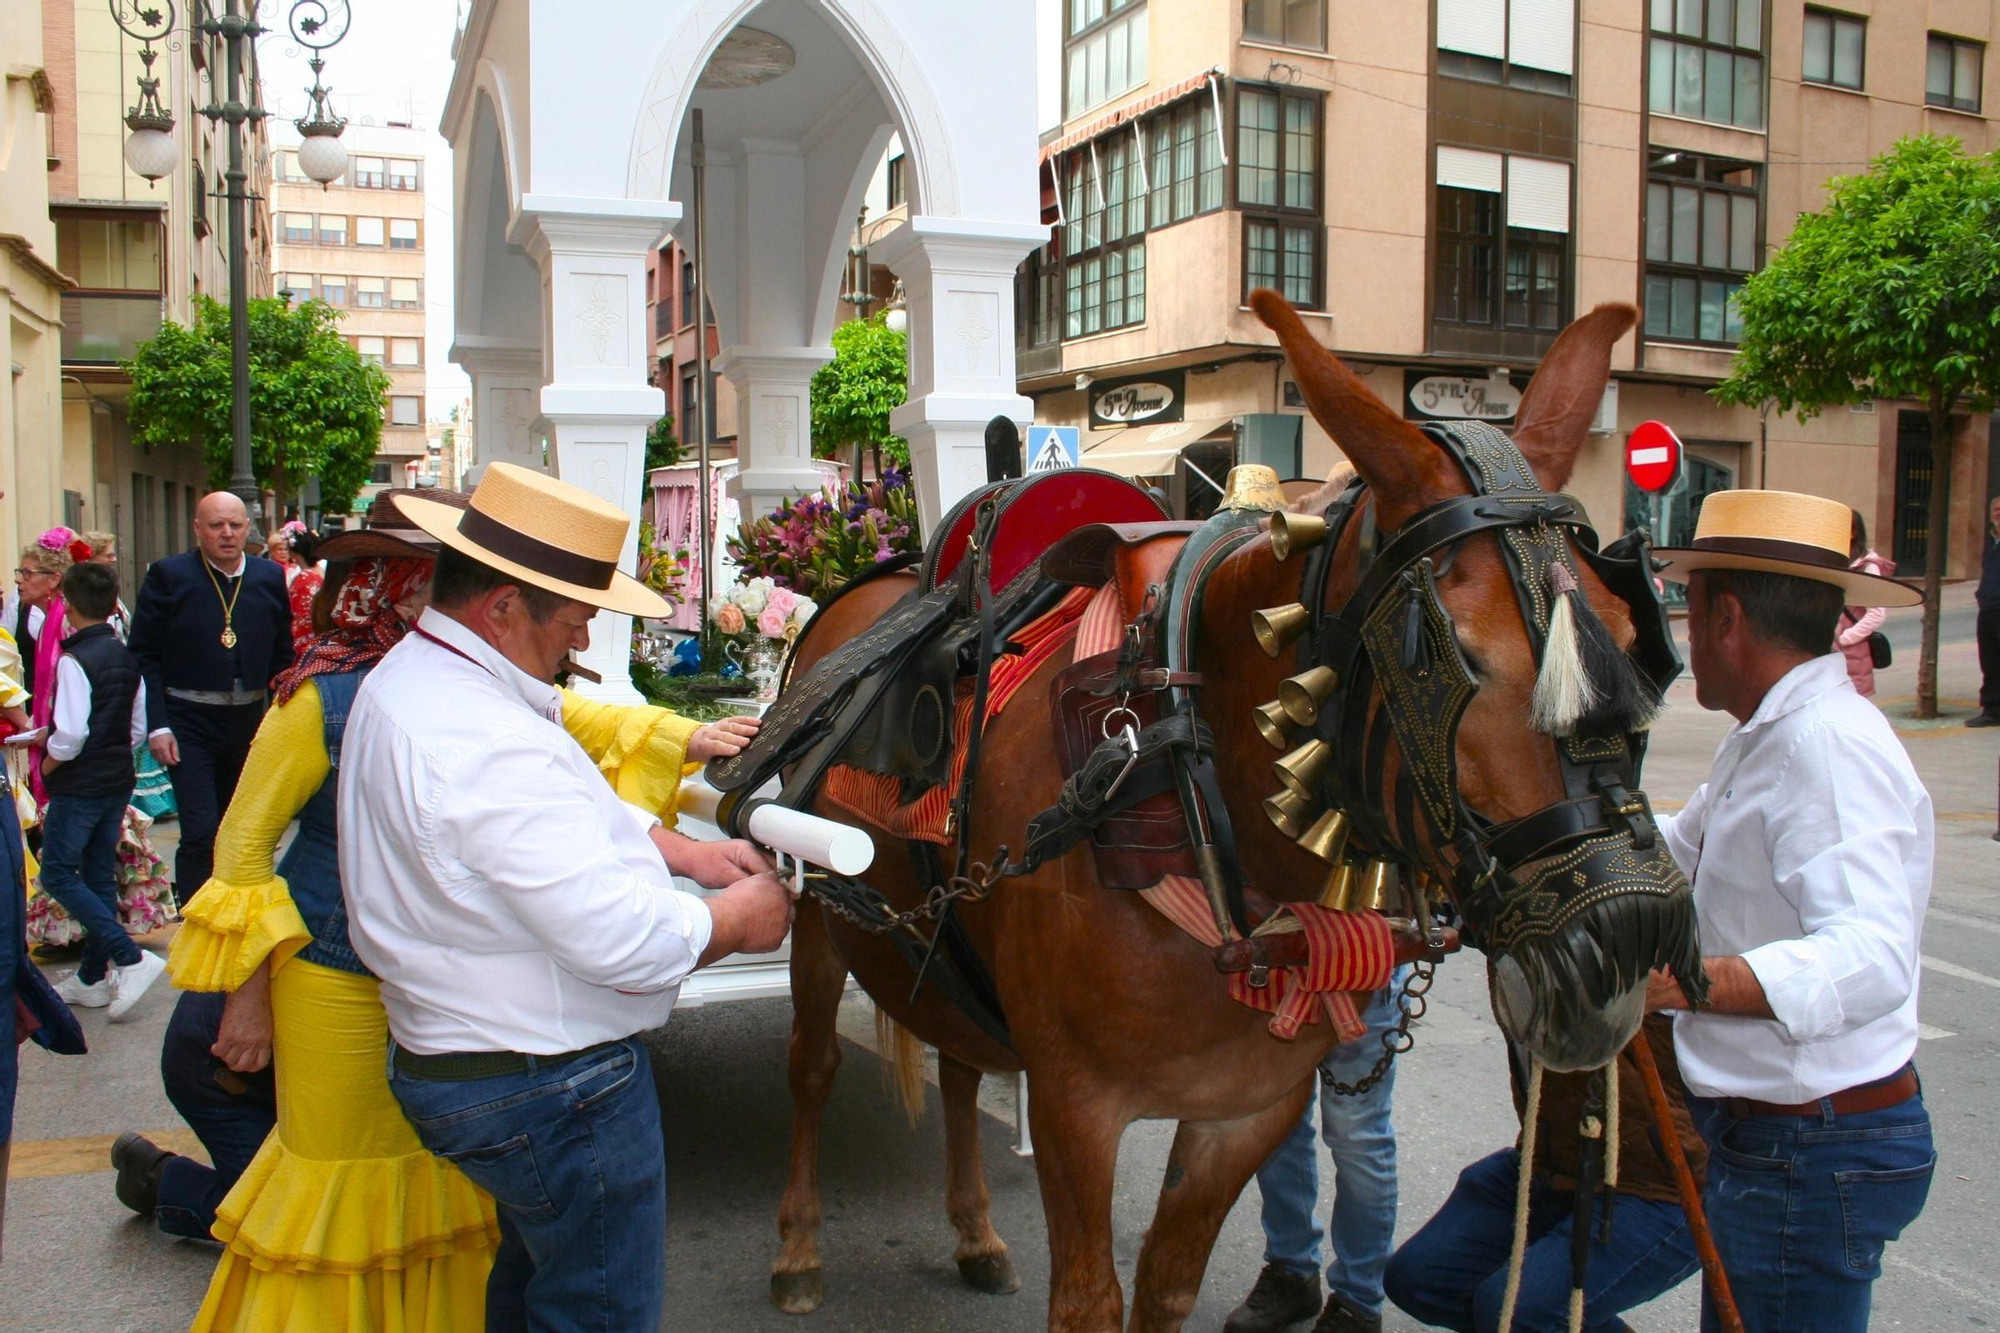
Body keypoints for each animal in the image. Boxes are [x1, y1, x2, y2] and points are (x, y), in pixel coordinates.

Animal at [772, 294, 1696, 1328]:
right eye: (1446, 652)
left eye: (1636, 635)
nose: (1627, 938)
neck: (1189, 786)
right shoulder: (1074, 1107)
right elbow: (1089, 1302)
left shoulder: (1248, 1111)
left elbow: (1167, 1286)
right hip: (815, 915)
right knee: (813, 1066)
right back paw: (799, 1245)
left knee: (962, 1061)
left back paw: (974, 1230)